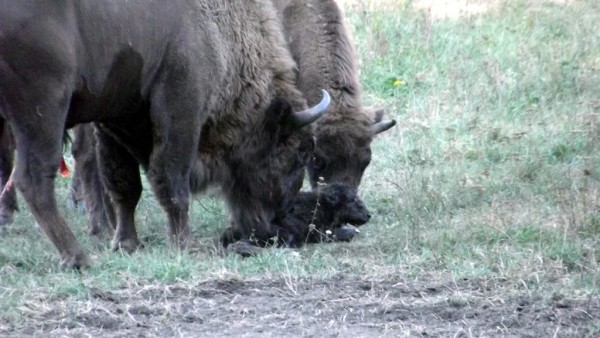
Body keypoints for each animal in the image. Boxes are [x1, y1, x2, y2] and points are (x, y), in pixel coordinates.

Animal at [0, 0, 328, 270]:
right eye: (298, 152)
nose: (277, 223)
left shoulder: (113, 119)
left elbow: (124, 186)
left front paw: (126, 243)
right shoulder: (181, 109)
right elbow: (172, 182)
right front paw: (183, 244)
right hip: (43, 109)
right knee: (34, 179)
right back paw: (79, 258)